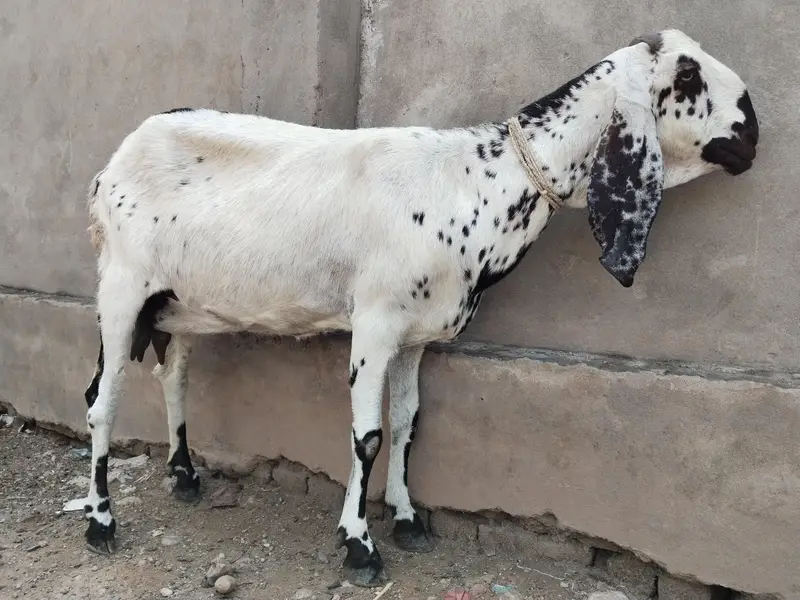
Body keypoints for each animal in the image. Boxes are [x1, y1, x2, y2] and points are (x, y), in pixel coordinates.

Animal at [80, 30, 758, 586]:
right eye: (688, 76)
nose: (751, 132)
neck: (478, 180)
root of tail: (110, 167)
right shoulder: (375, 323)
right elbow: (368, 436)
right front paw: (359, 547)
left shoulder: (416, 335)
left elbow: (408, 423)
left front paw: (407, 521)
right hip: (121, 289)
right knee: (100, 401)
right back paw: (100, 523)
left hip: (178, 306)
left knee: (173, 375)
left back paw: (185, 476)